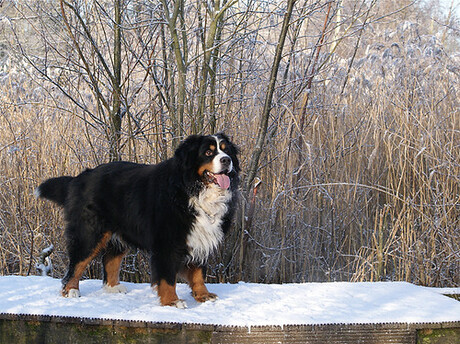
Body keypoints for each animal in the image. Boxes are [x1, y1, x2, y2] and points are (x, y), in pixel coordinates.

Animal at [34, 133, 239, 308]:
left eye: (226, 150)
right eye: (208, 152)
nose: (226, 160)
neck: (191, 188)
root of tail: (79, 178)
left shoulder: (199, 237)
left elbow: (197, 272)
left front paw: (203, 295)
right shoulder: (167, 242)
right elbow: (167, 277)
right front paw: (172, 301)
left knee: (110, 259)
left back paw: (113, 287)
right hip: (90, 233)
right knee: (77, 263)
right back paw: (70, 290)